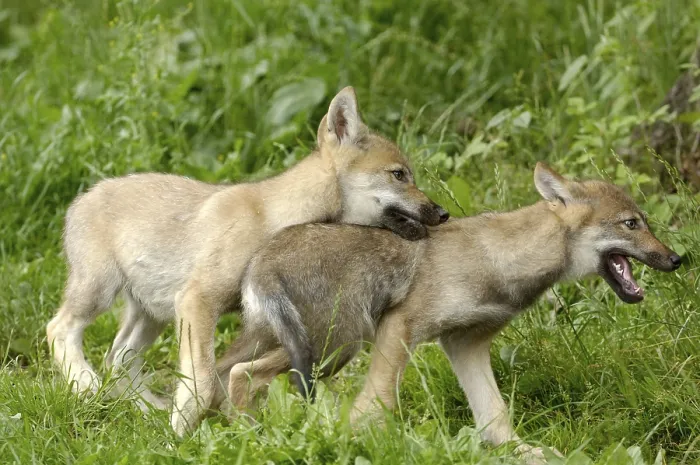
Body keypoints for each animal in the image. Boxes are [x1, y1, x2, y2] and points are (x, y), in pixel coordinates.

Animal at [45, 86, 449, 436]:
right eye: (399, 175)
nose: (443, 213)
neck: (271, 219)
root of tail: (82, 197)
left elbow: (220, 381)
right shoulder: (198, 302)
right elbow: (204, 384)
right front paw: (184, 433)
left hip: (152, 315)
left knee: (119, 360)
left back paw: (149, 411)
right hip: (100, 294)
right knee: (59, 328)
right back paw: (85, 385)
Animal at [216, 162, 681, 460]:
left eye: (644, 221)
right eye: (631, 224)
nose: (677, 259)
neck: (501, 259)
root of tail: (261, 260)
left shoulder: (465, 345)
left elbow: (495, 417)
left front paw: (522, 453)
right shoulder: (400, 330)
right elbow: (375, 404)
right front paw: (361, 445)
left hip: (312, 350)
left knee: (227, 374)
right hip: (335, 348)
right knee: (242, 375)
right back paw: (252, 439)